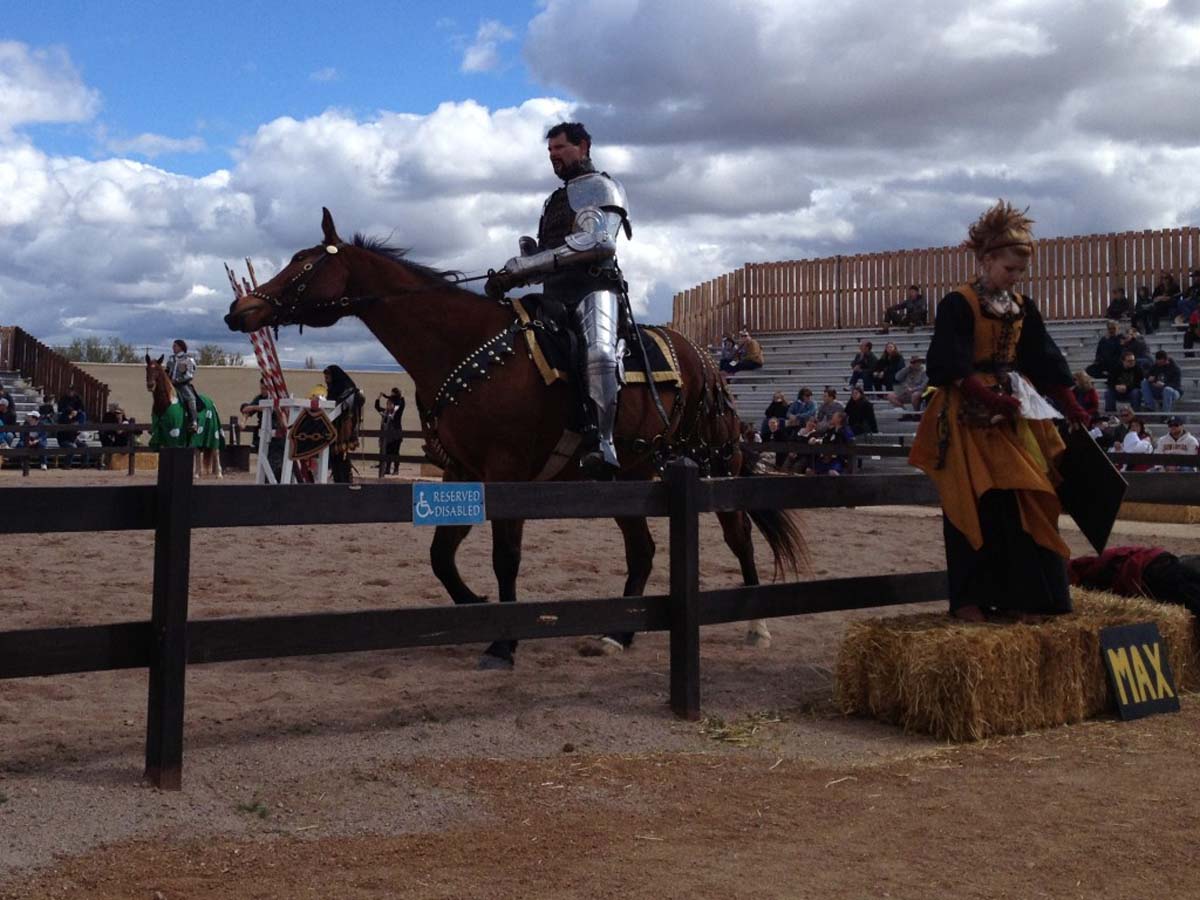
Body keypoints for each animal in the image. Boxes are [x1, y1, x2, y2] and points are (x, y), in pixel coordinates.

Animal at [225, 207, 806, 667]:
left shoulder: (507, 472)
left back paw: (756, 625)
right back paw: (619, 634)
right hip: (632, 476)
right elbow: (441, 555)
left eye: (306, 263)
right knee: (642, 551)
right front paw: (476, 606)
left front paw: (503, 643)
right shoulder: (463, 473)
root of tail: (704, 358)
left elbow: (505, 555)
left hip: (715, 462)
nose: (241, 310)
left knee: (738, 533)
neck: (465, 344)